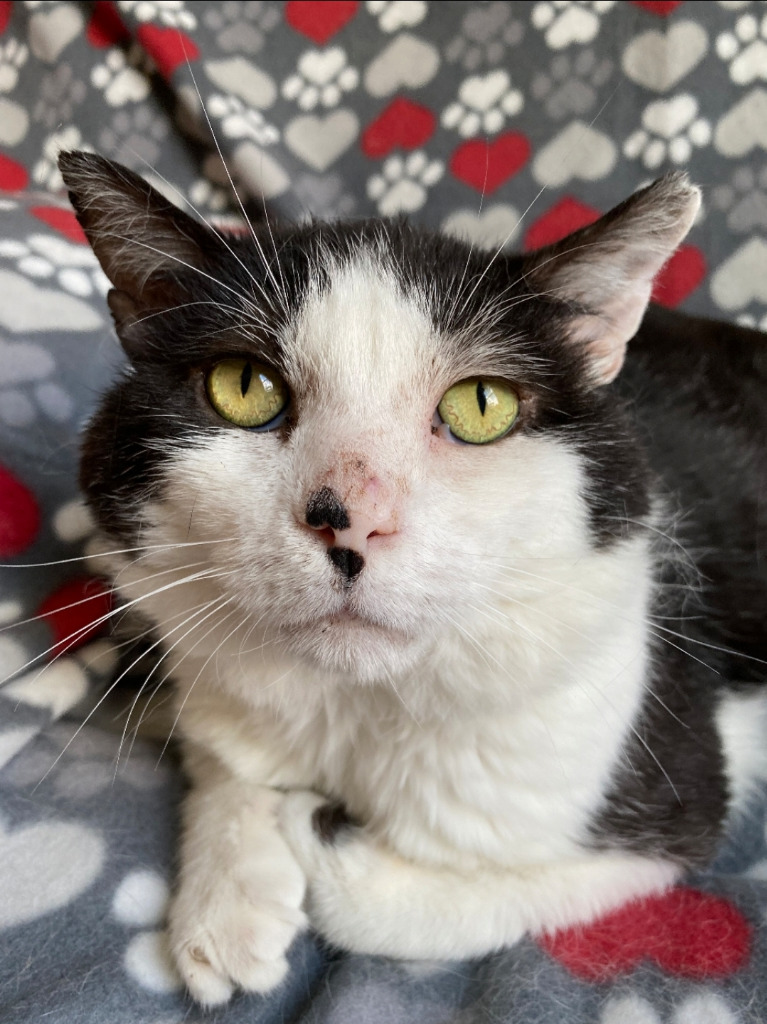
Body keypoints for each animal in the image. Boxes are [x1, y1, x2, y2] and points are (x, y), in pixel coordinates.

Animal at [58, 151, 765, 1007]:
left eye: (481, 406)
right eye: (243, 386)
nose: (351, 521)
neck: (355, 704)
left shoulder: (667, 806)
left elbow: (434, 899)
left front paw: (308, 827)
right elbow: (222, 752)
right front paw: (226, 899)